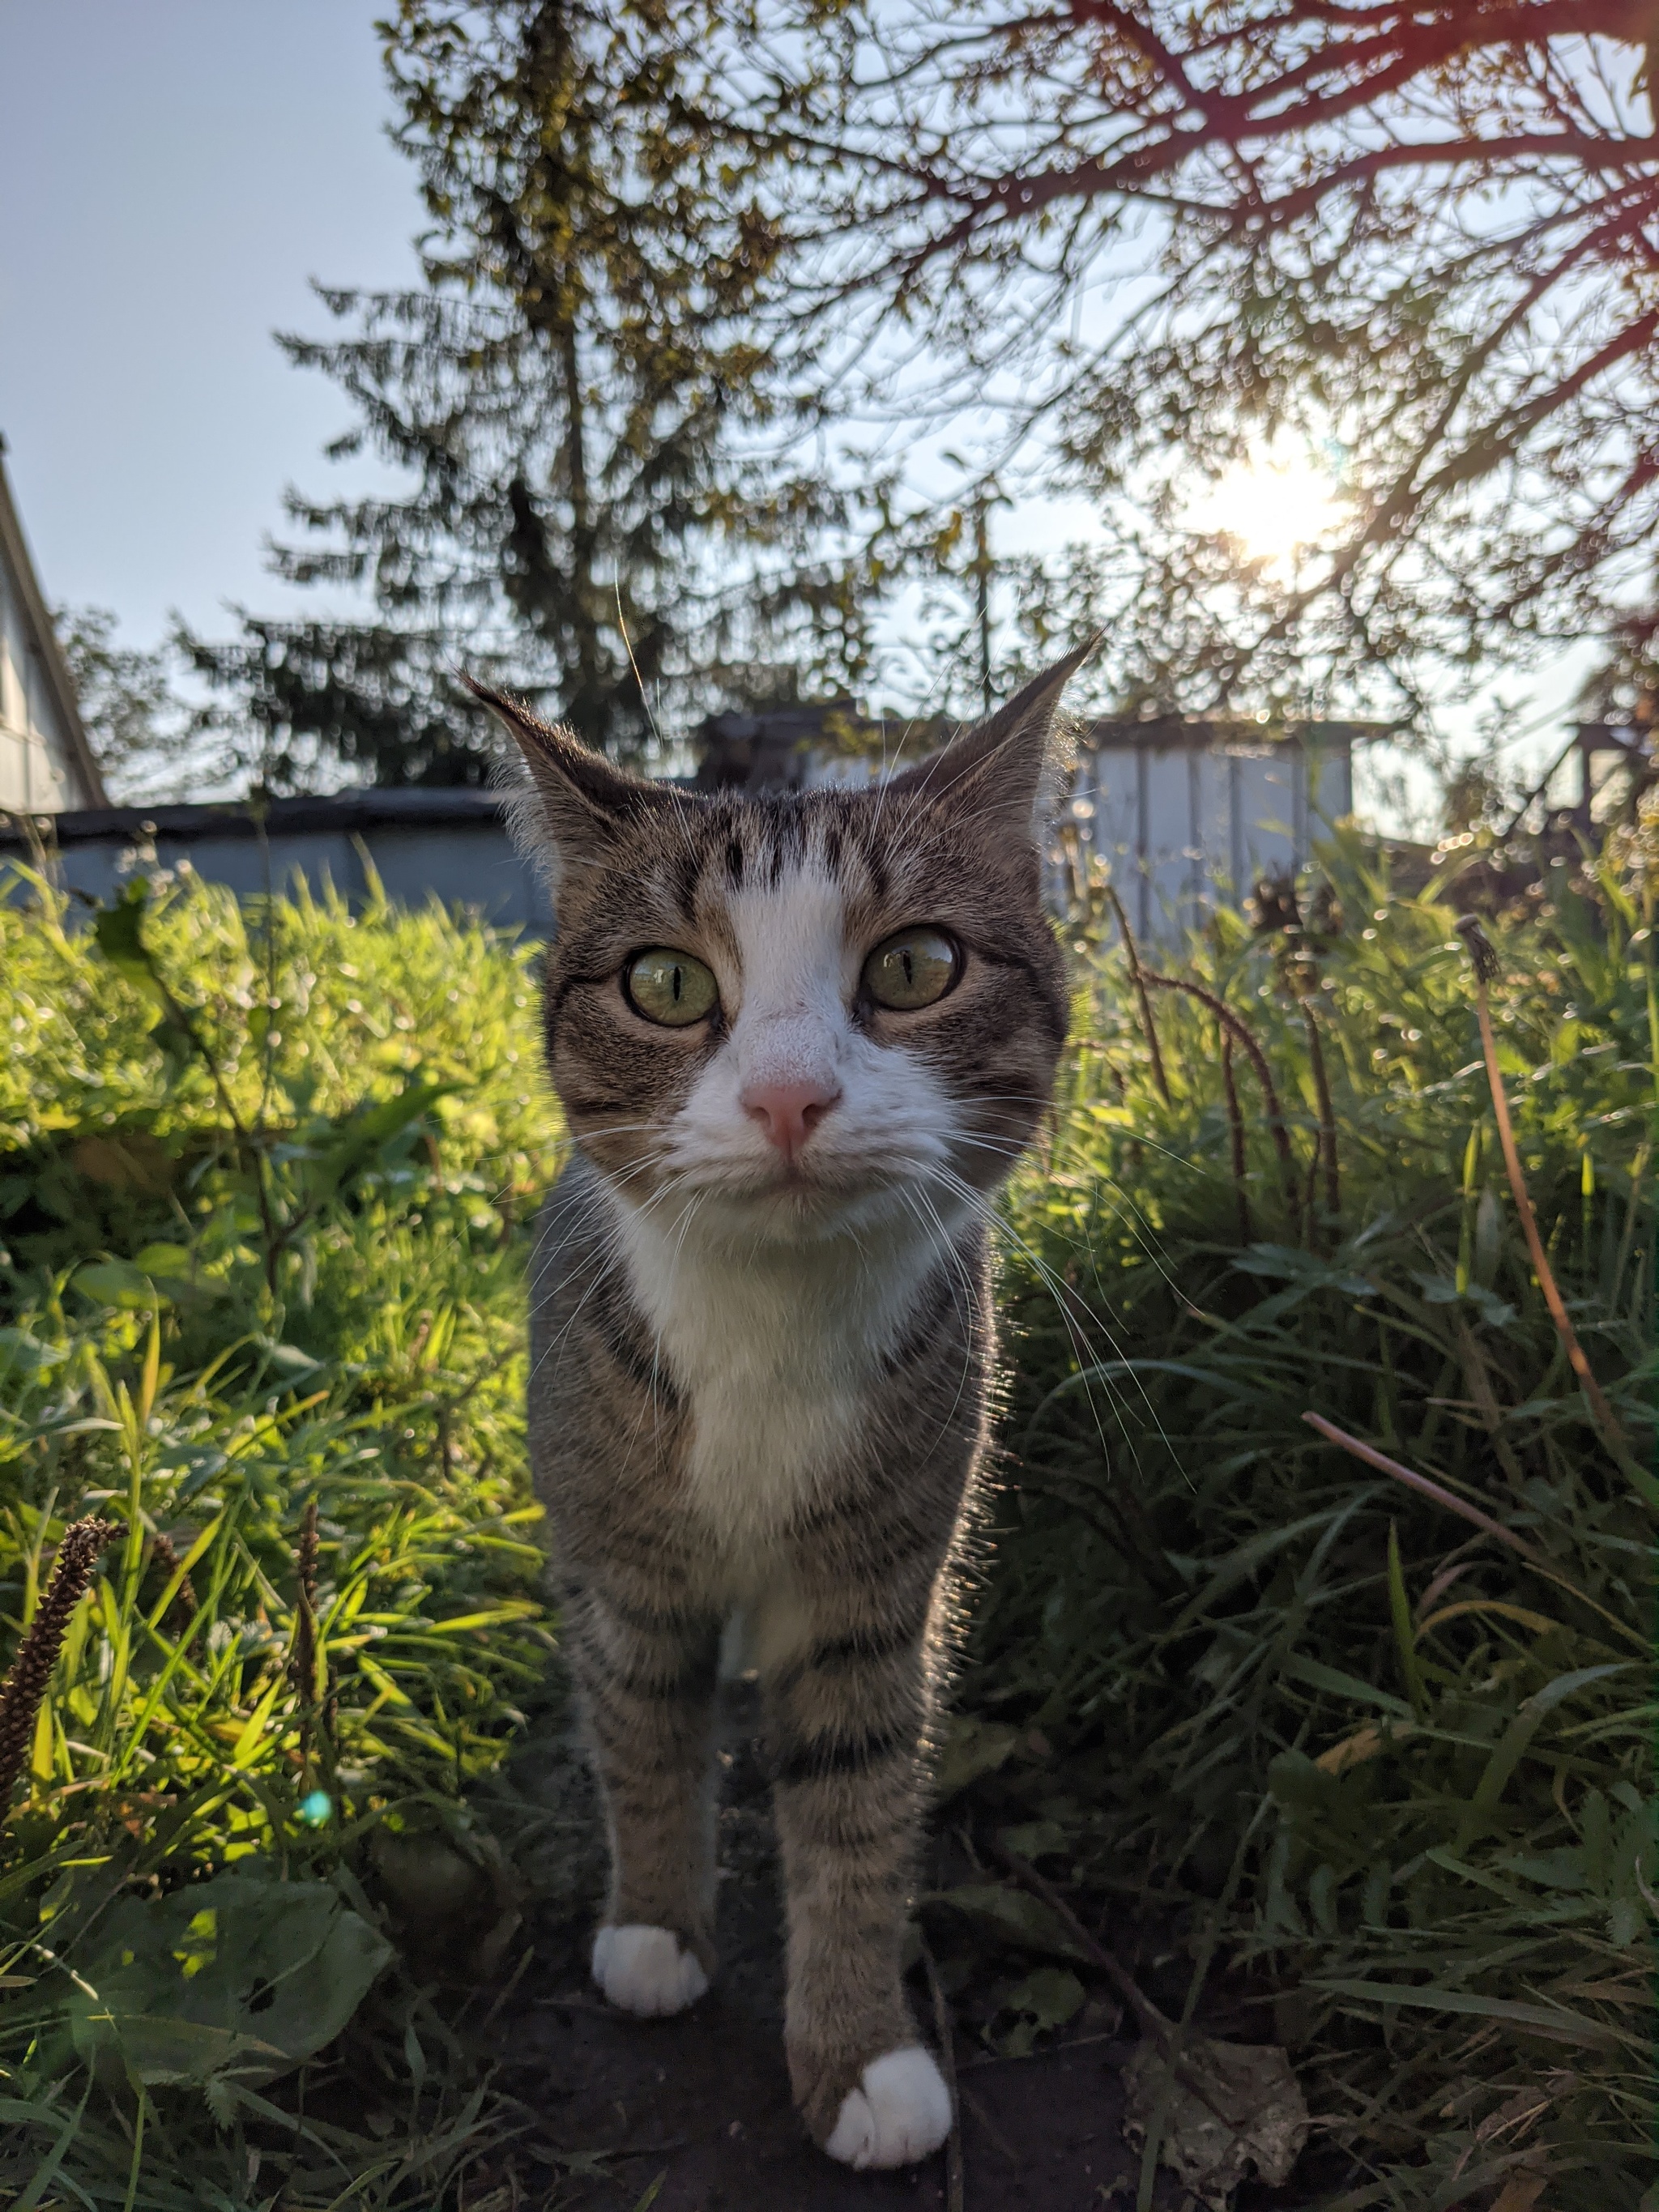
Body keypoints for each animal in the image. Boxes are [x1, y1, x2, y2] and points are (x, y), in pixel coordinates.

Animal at [473, 646, 1084, 2167]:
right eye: (665, 981)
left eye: (916, 965)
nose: (790, 1095)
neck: (770, 1328)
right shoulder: (627, 1566)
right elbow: (641, 1733)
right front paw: (653, 1929)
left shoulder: (876, 1585)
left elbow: (856, 1804)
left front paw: (859, 2055)